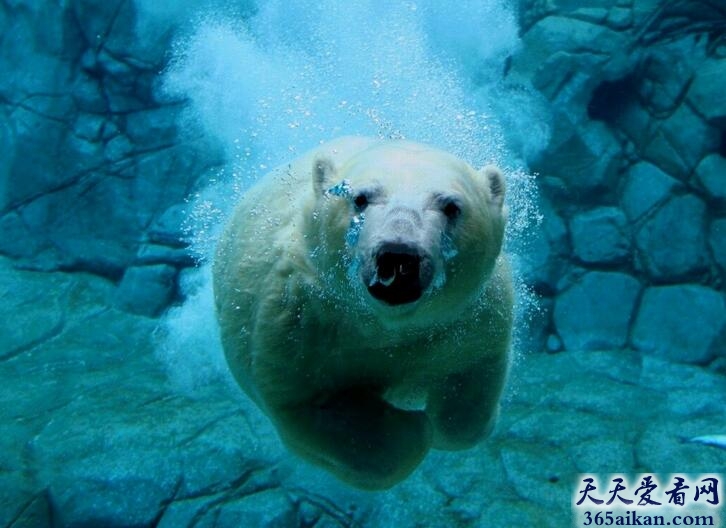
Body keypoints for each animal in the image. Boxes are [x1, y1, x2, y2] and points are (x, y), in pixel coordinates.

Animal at [213, 137, 516, 490]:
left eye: (452, 206)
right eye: (359, 198)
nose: (398, 256)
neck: (383, 325)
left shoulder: (469, 319)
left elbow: (471, 379)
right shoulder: (298, 323)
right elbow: (314, 408)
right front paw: (413, 429)